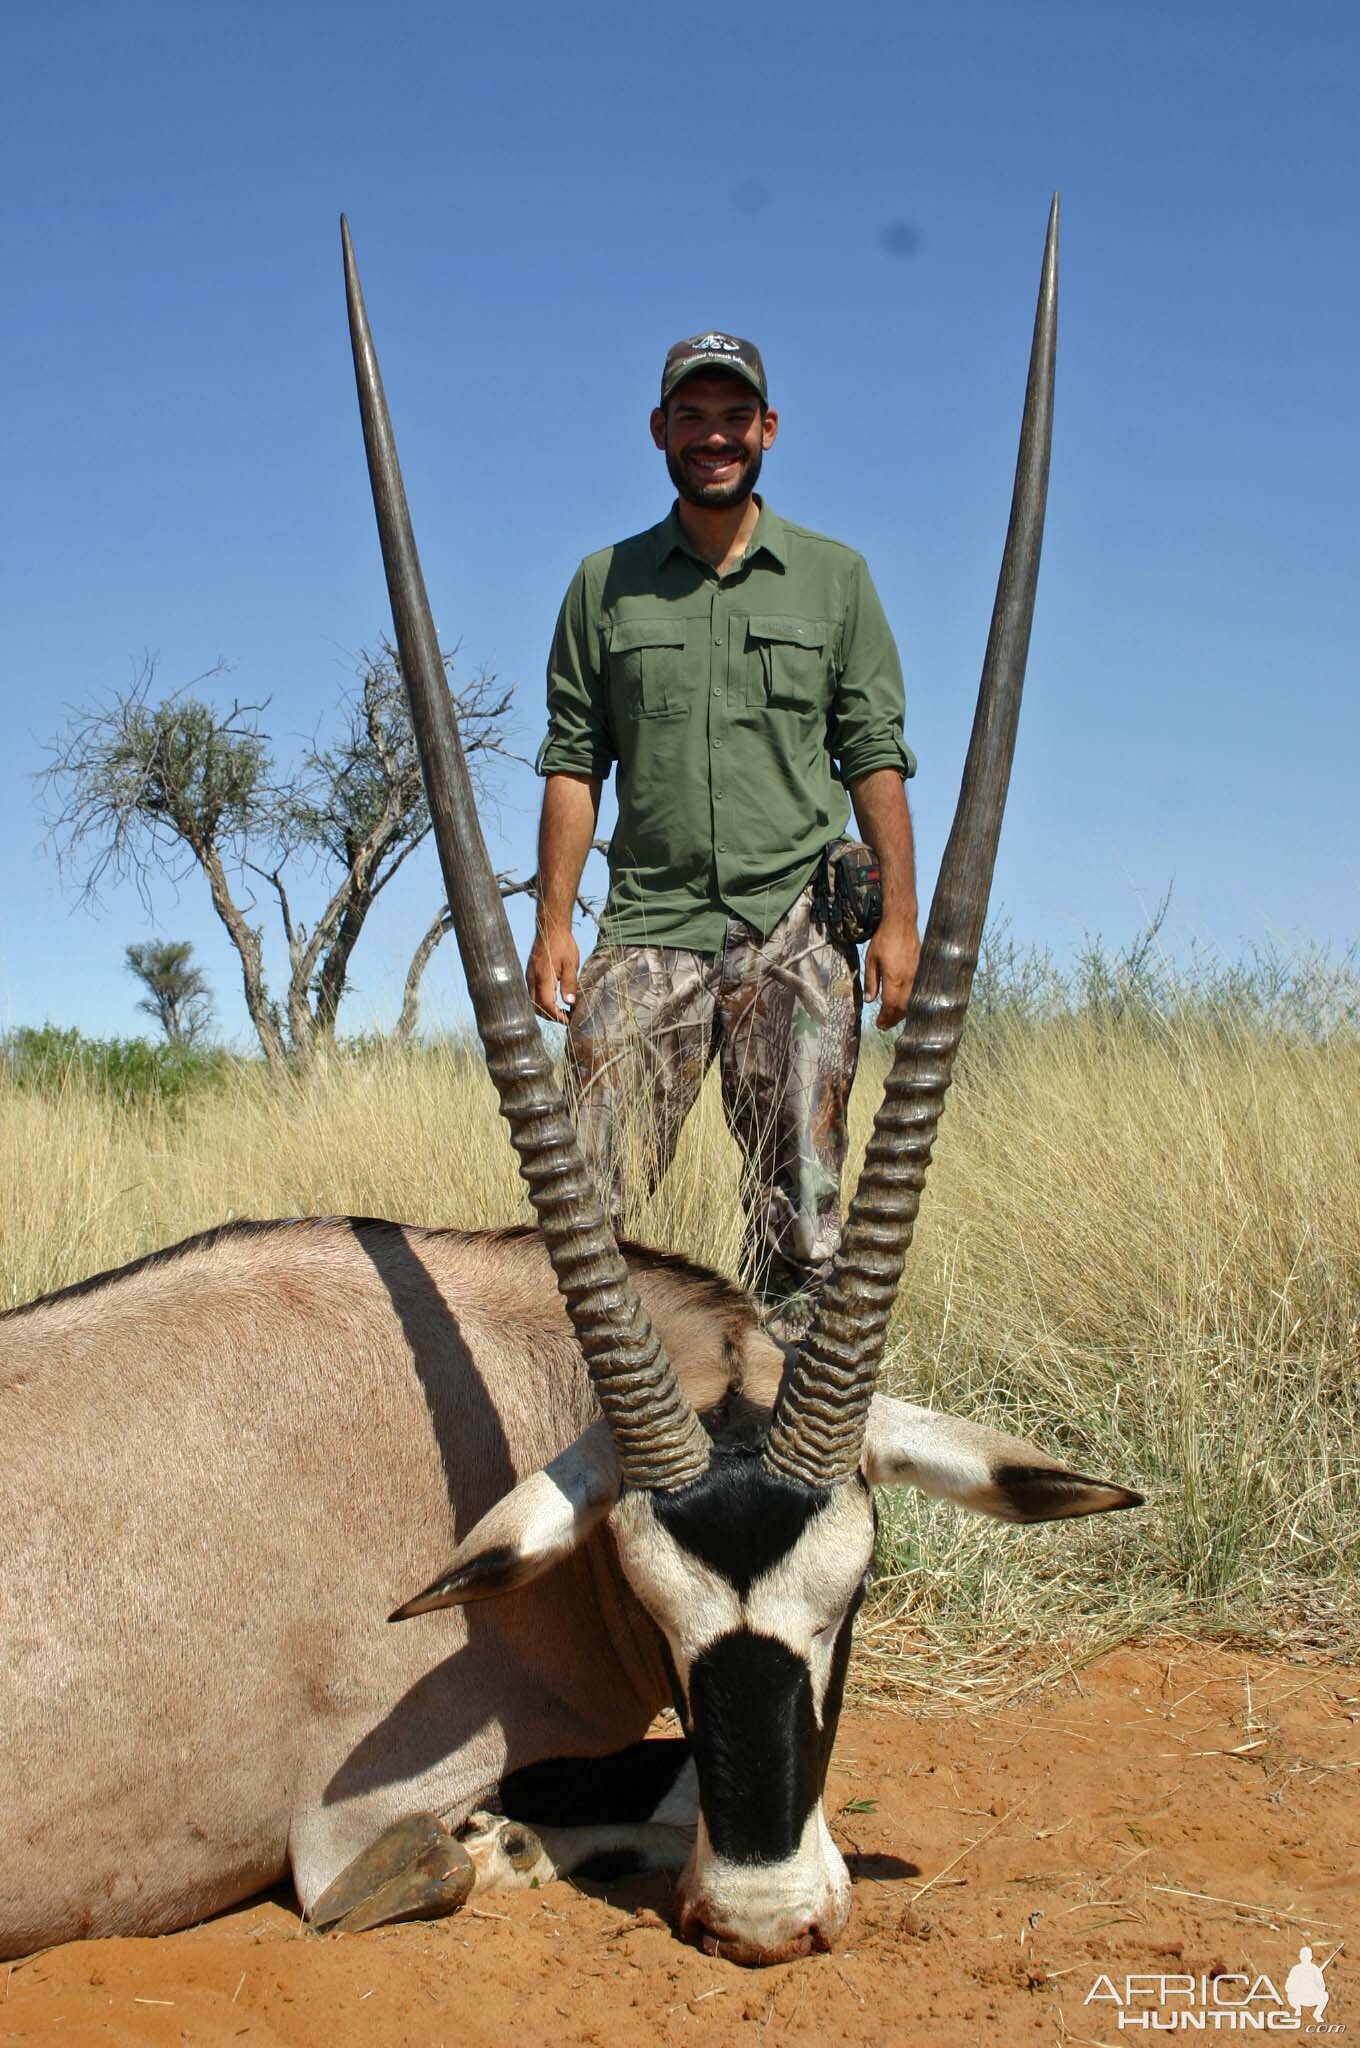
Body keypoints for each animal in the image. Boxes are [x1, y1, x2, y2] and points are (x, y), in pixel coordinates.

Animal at [0, 203, 1138, 1966]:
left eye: (858, 1594)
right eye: (661, 1614)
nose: (764, 1915)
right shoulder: (350, 1833)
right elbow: (558, 1811)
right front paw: (541, 1847)